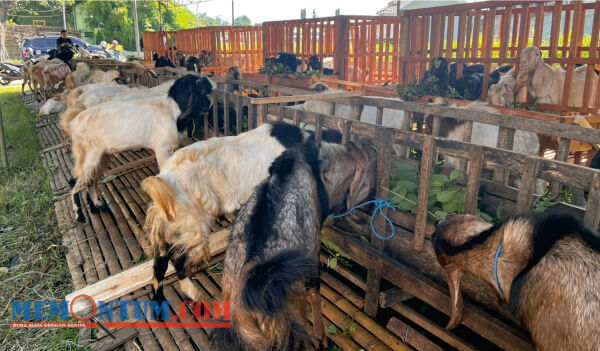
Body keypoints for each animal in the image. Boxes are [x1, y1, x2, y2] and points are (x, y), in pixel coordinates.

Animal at [69, 75, 214, 223]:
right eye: (202, 89)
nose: (209, 106)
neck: (172, 111)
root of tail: (74, 124)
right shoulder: (162, 148)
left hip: (102, 157)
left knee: (90, 181)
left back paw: (98, 206)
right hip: (89, 154)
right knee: (76, 182)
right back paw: (79, 215)